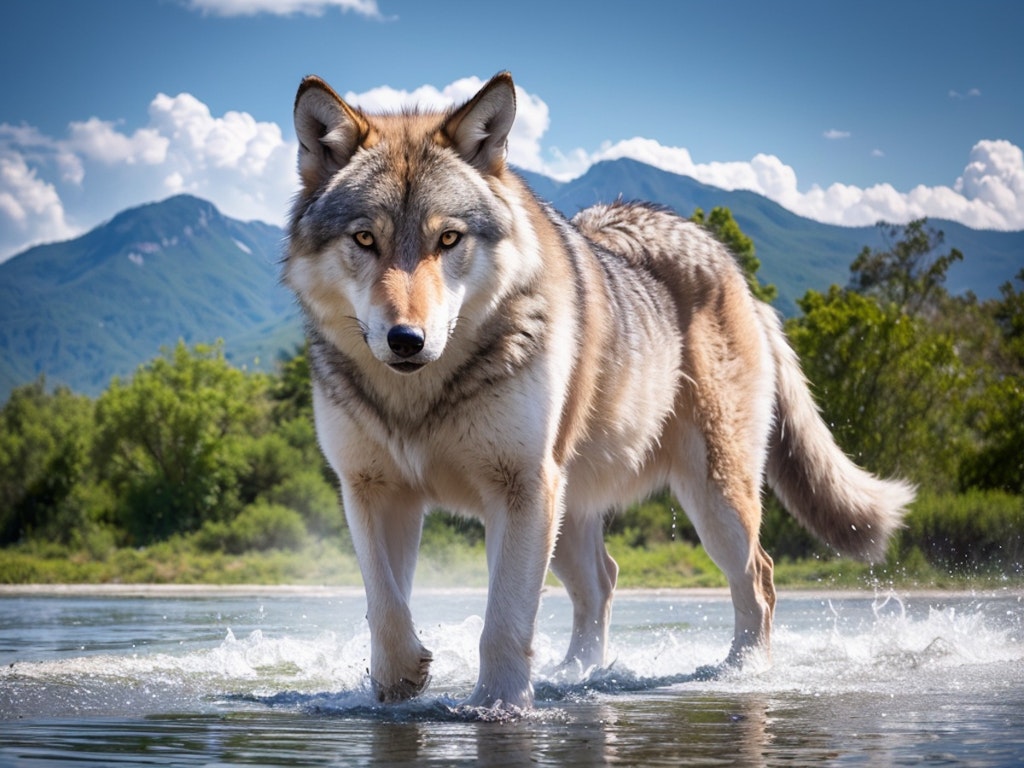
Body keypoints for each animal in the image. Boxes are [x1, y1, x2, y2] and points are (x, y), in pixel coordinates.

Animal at [284, 70, 917, 708]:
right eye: (366, 239)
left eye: (448, 239)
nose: (406, 340)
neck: (419, 397)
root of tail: (737, 273)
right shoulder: (372, 490)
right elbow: (384, 604)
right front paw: (397, 688)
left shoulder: (520, 488)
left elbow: (503, 621)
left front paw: (498, 707)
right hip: (568, 509)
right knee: (603, 580)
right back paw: (579, 674)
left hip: (709, 500)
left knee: (758, 578)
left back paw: (741, 674)